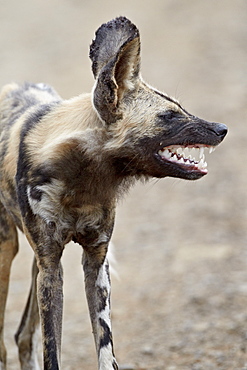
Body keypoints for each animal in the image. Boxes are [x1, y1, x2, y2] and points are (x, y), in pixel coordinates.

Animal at [0, 16, 228, 370]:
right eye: (170, 115)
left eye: (181, 107)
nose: (222, 129)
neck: (82, 183)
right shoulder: (52, 266)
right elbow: (53, 350)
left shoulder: (94, 260)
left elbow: (105, 346)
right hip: (8, 250)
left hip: (37, 265)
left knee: (24, 335)